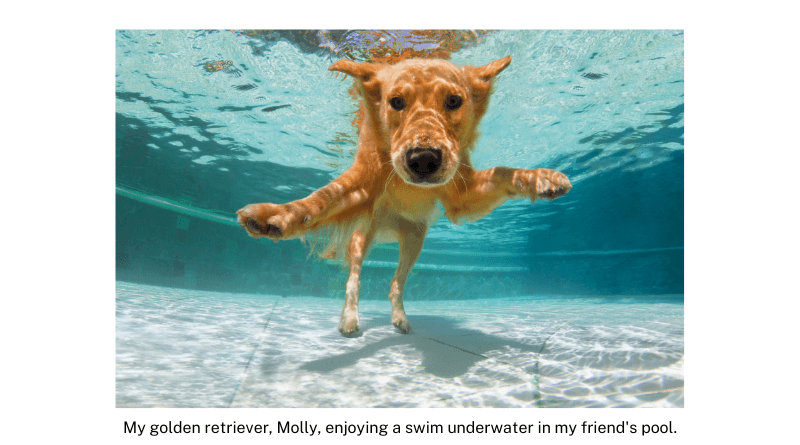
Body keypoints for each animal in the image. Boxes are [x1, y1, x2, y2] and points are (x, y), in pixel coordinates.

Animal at [234, 55, 572, 334]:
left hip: (414, 241)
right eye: (396, 101)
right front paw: (275, 214)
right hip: (362, 236)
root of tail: (388, 228)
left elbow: (501, 171)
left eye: (454, 100)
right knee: (353, 279)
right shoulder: (360, 184)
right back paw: (349, 319)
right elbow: (320, 200)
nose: (423, 159)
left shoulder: (461, 194)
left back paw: (400, 318)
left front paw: (541, 177)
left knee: (396, 283)